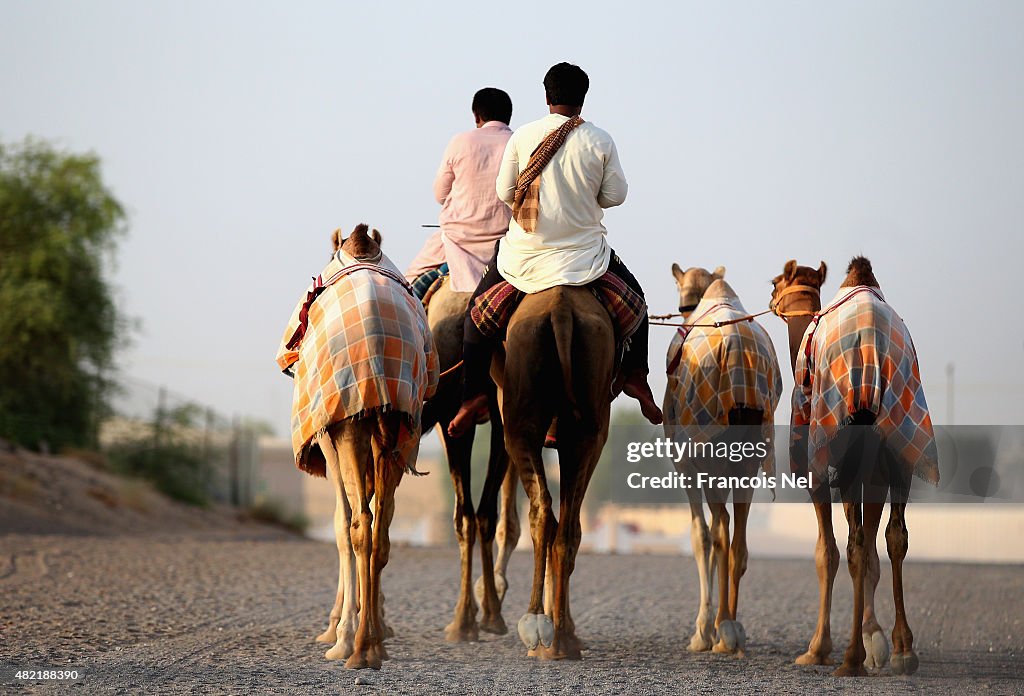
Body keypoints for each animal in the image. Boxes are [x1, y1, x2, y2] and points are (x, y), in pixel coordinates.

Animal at [280, 224, 440, 667]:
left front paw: (337, 628)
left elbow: (341, 522)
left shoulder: (329, 430)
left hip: (352, 422)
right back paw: (372, 640)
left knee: (359, 526)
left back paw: (357, 647)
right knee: (380, 530)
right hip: (398, 425)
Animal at [497, 282, 610, 659]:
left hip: (523, 420)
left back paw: (538, 626)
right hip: (585, 424)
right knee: (565, 526)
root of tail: (561, 311)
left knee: (544, 512)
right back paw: (558, 637)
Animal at [663, 264, 782, 655]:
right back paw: (731, 627)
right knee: (737, 539)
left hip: (709, 450)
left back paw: (719, 628)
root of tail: (738, 352)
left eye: (683, 297)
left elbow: (700, 536)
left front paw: (701, 632)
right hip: (749, 453)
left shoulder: (685, 463)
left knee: (719, 530)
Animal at [770, 256, 937, 675]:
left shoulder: (816, 465)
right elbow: (873, 550)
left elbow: (827, 552)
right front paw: (876, 637)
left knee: (856, 543)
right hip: (897, 445)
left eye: (774, 283)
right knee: (895, 537)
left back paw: (850, 658)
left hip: (848, 444)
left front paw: (819, 647)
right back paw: (904, 649)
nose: (772, 300)